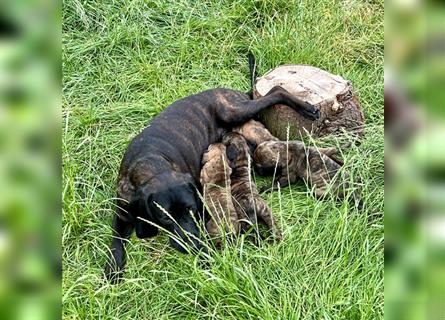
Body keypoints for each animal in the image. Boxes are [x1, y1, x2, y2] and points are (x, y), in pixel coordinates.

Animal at [104, 57, 320, 282]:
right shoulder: (122, 213)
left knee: (276, 90)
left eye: (191, 209)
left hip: (232, 111)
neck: (151, 161)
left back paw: (306, 107)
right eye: (164, 218)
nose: (192, 245)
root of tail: (237, 93)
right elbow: (116, 243)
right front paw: (113, 268)